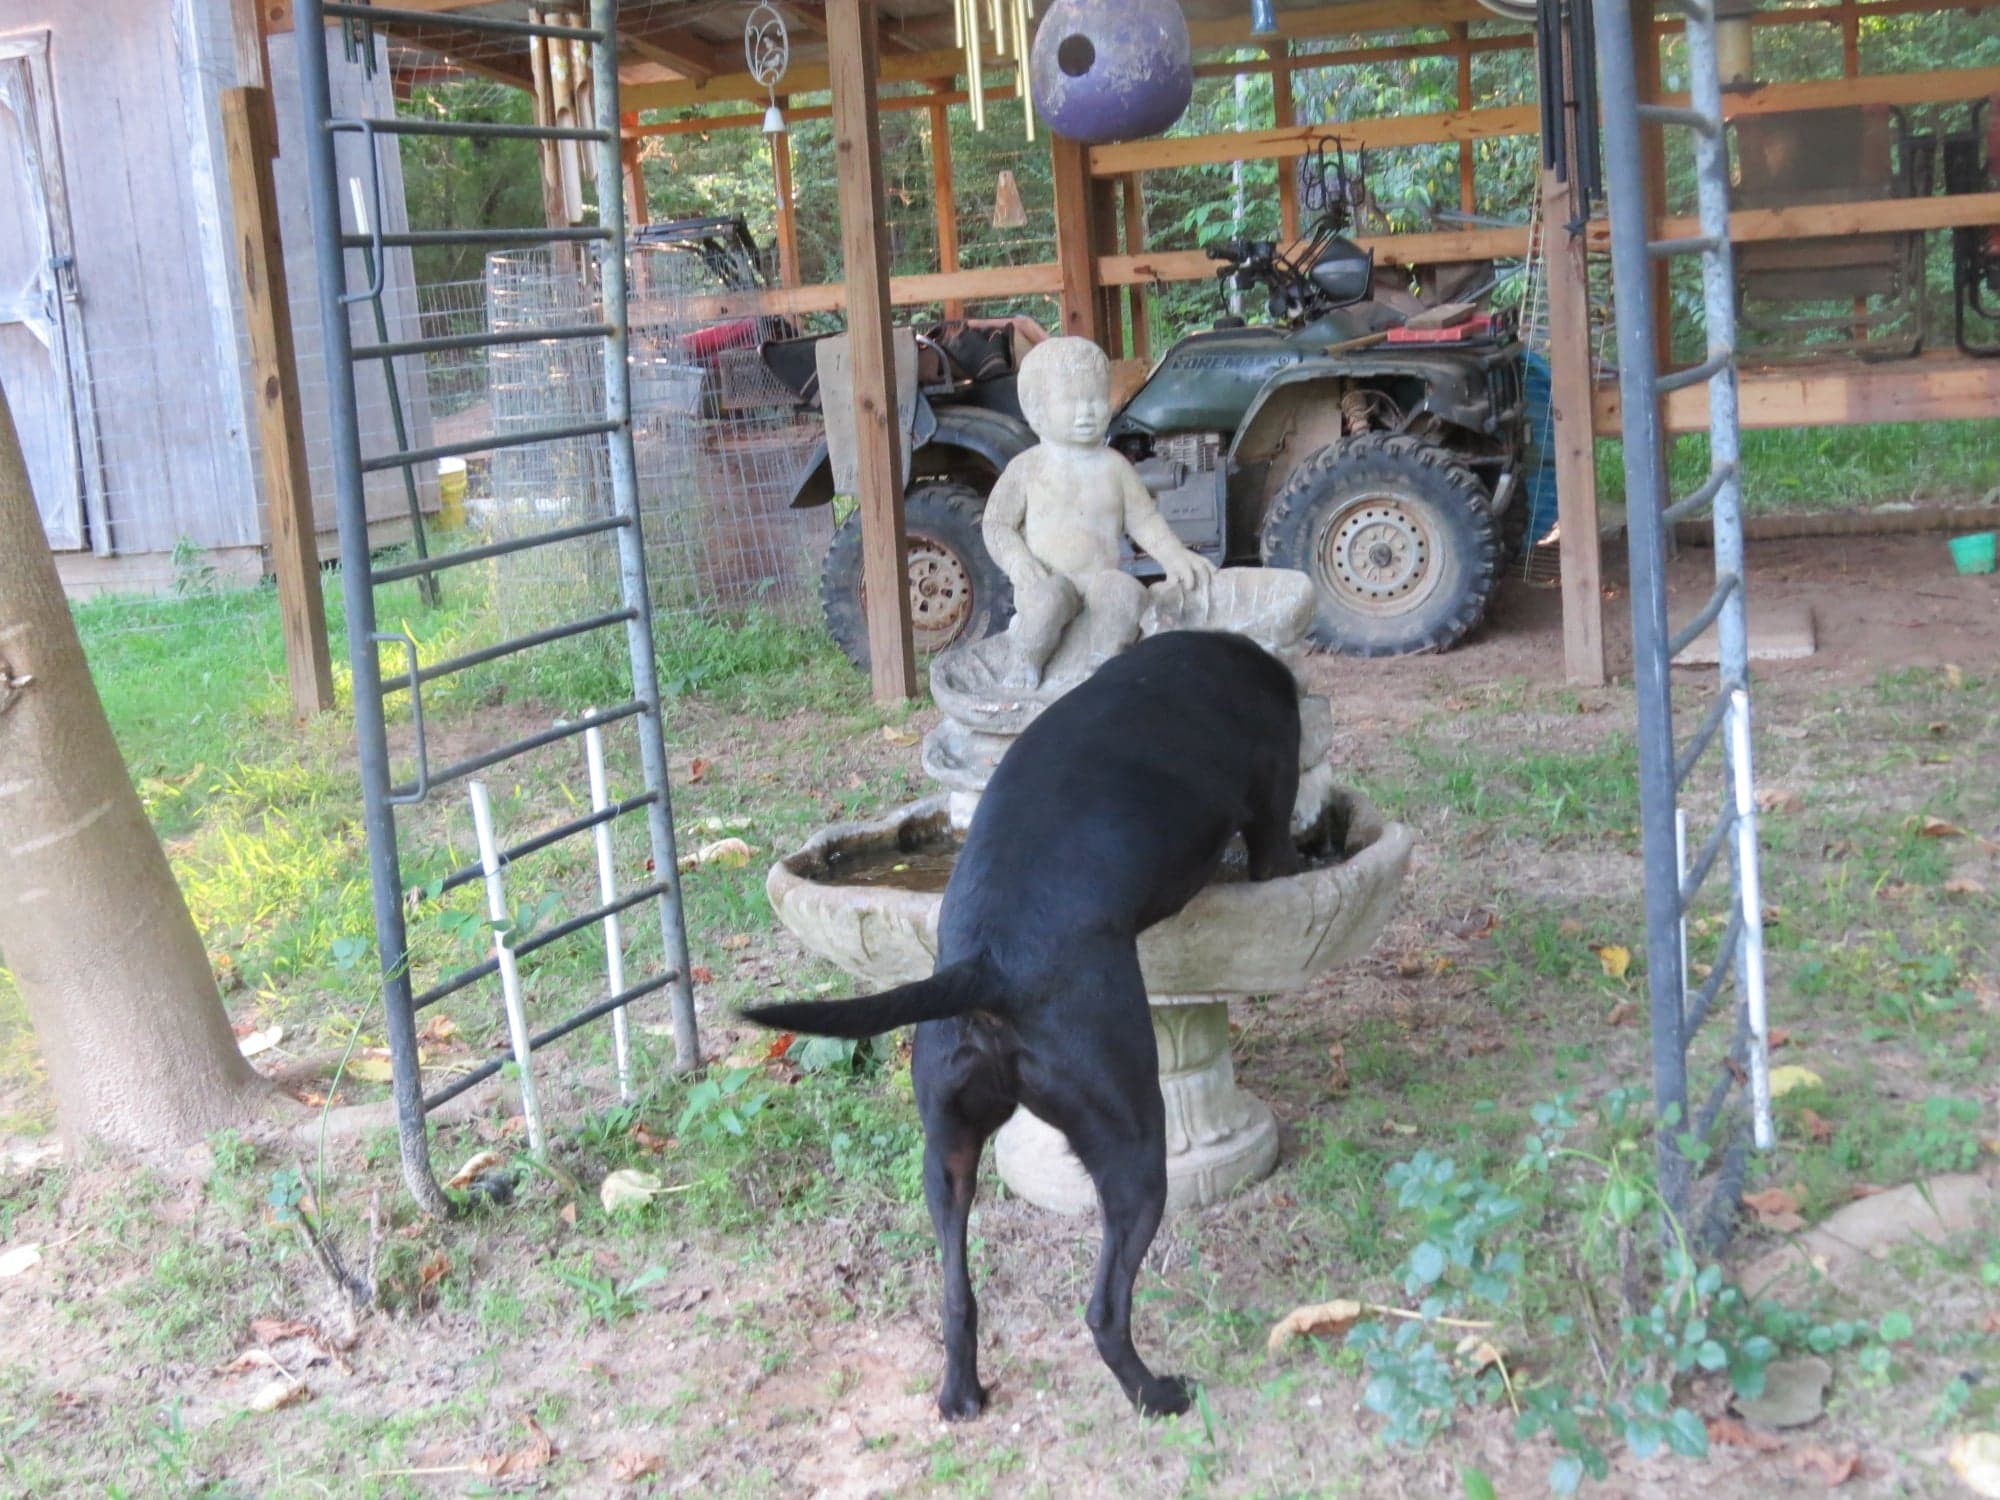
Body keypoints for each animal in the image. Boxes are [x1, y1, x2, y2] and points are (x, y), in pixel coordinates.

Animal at [744, 632, 1304, 1424]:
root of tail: (986, 967)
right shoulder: (1273, 810)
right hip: (1134, 1143)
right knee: (1104, 1310)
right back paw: (1156, 1394)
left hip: (947, 1154)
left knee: (957, 1297)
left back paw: (961, 1394)